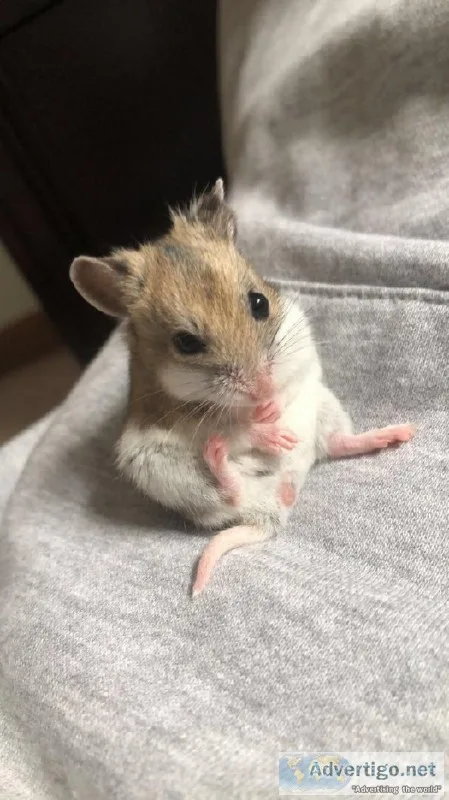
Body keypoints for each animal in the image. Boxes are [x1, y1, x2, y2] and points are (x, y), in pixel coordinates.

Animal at [70, 179, 414, 596]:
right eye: (186, 342)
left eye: (259, 302)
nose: (260, 390)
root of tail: (280, 500)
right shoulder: (188, 419)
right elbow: (235, 427)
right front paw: (265, 424)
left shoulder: (298, 346)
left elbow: (288, 381)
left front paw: (272, 409)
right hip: (161, 468)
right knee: (229, 493)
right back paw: (223, 457)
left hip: (324, 405)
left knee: (336, 444)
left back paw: (395, 435)